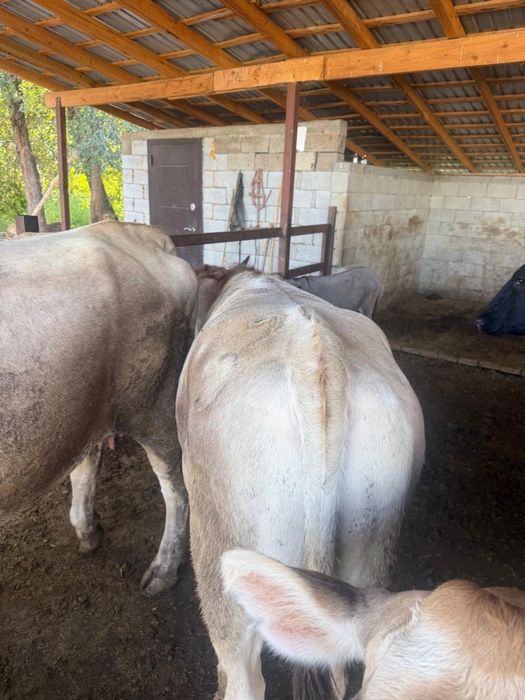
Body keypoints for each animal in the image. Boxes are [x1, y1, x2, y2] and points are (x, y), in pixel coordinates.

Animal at [0, 221, 197, 596]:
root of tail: (124, 231)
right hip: (80, 407)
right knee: (86, 461)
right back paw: (88, 531)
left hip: (155, 407)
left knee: (176, 489)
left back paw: (162, 571)